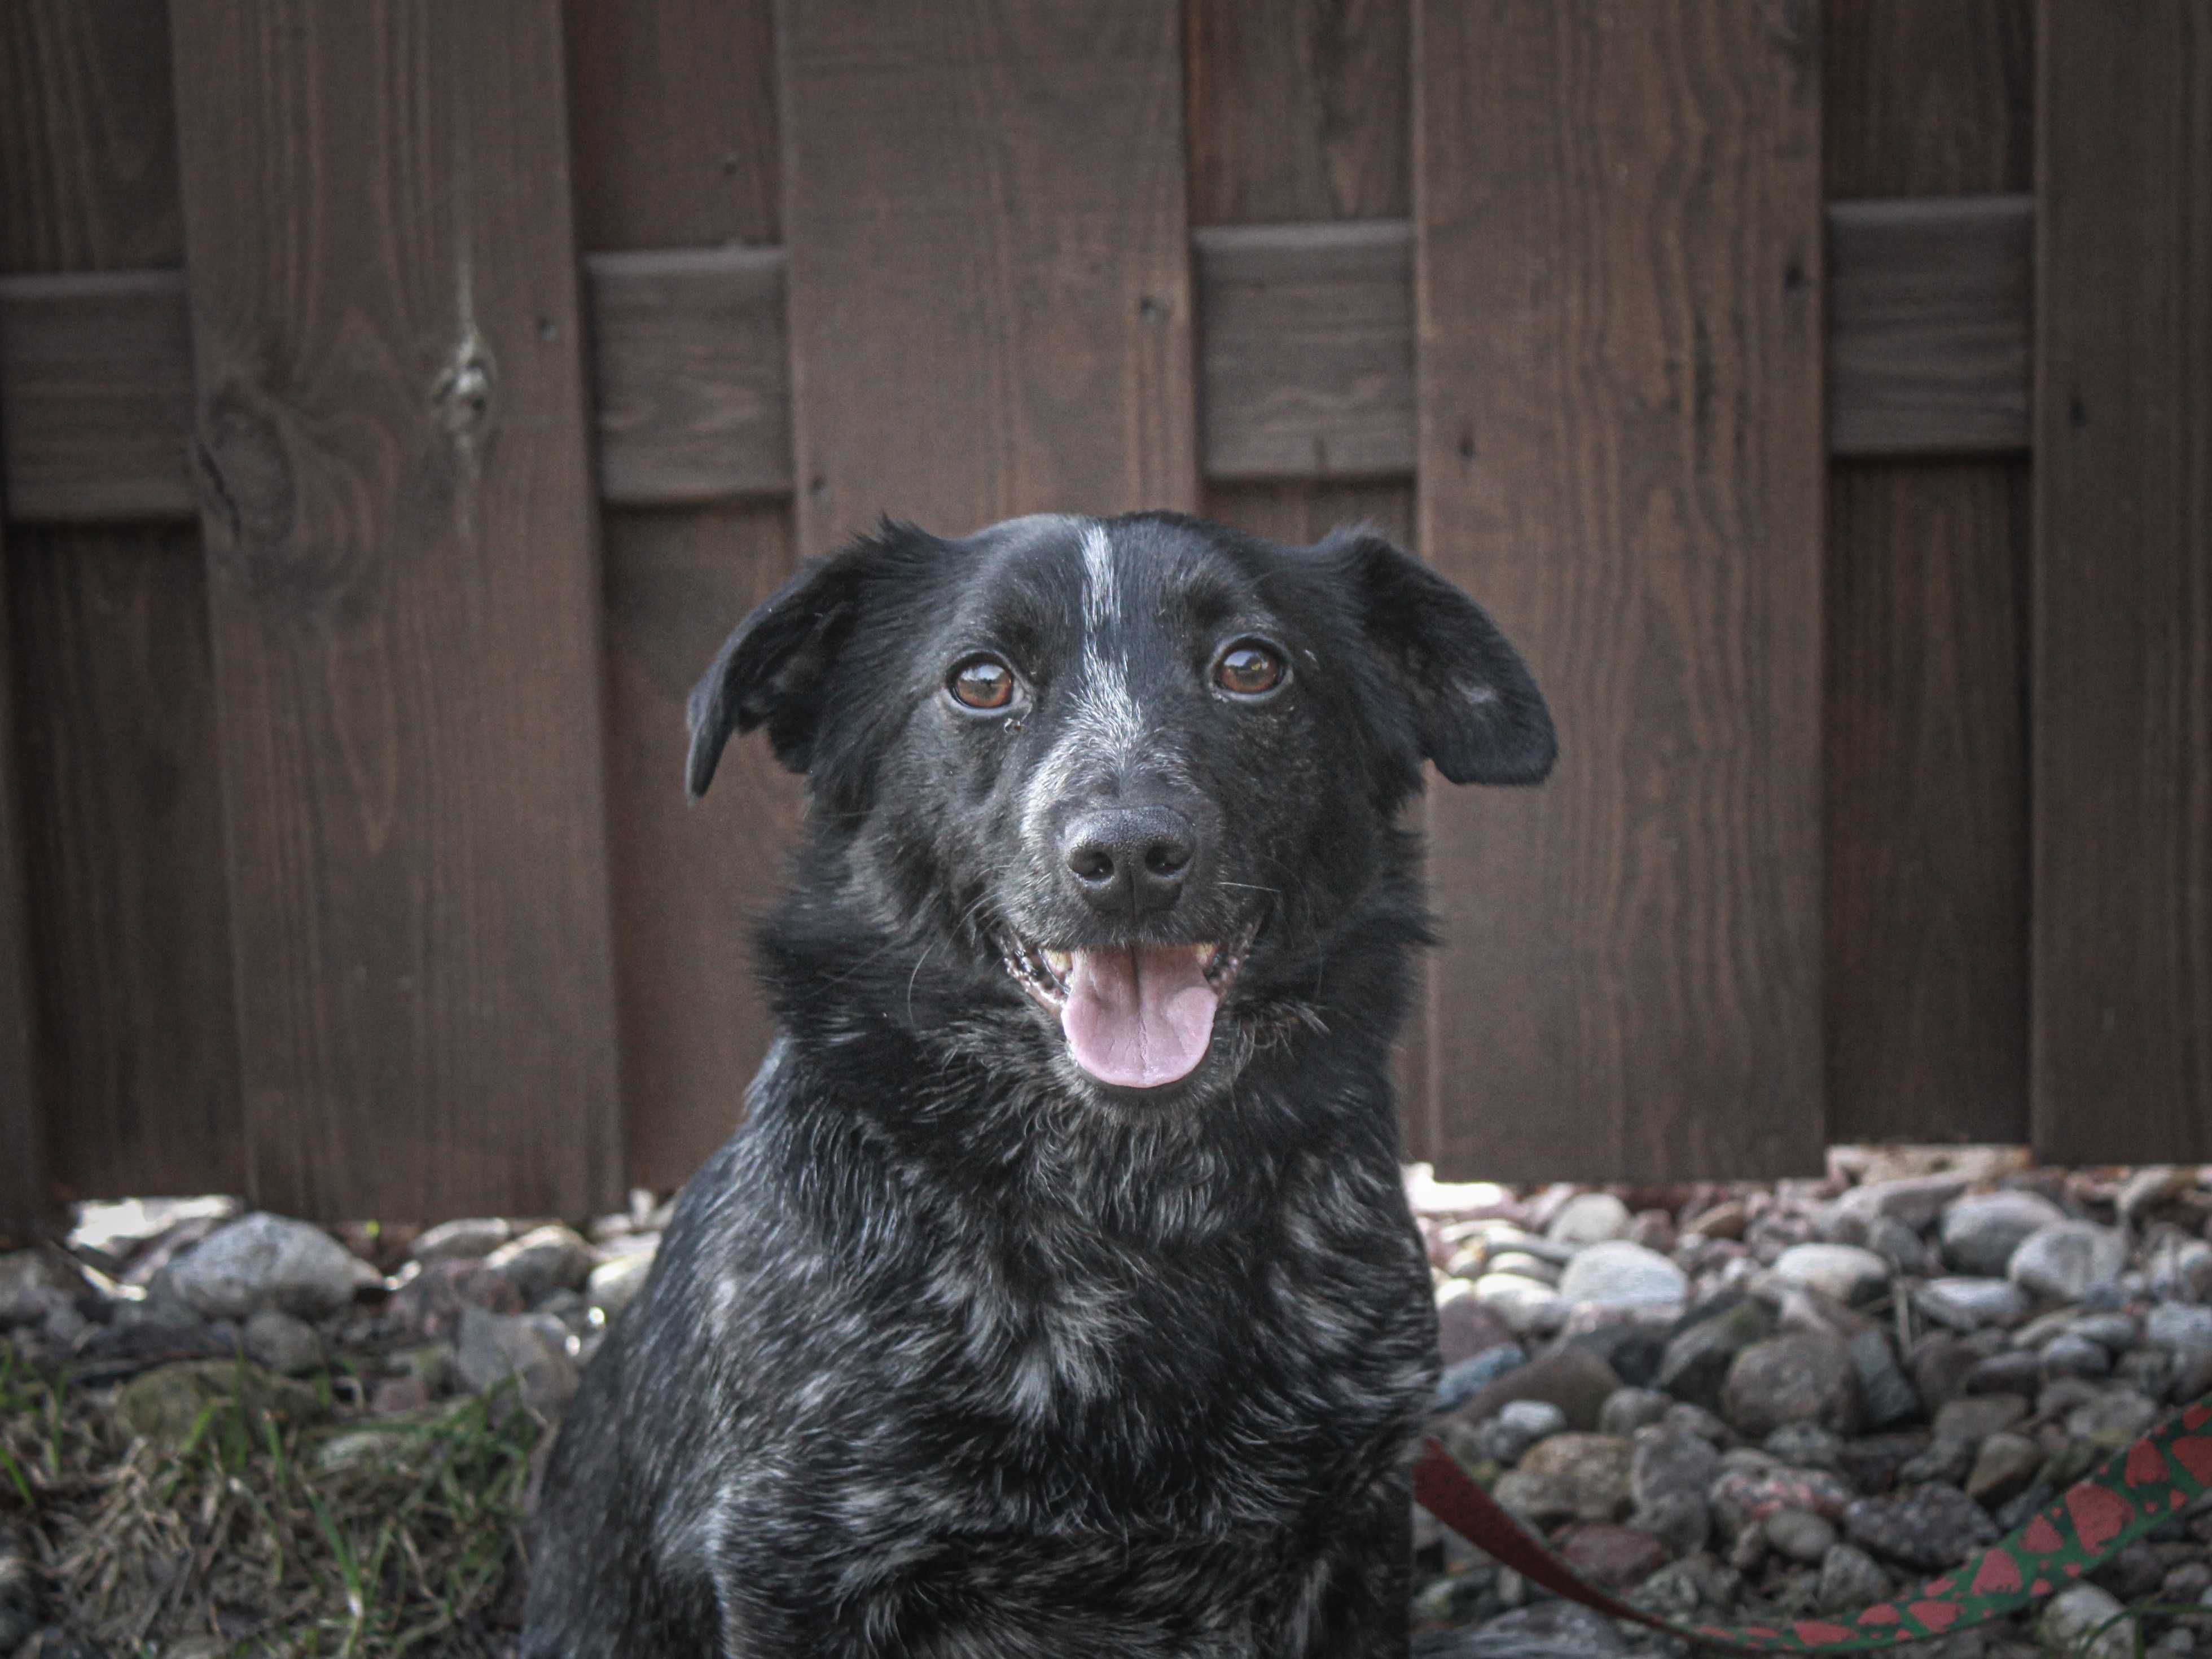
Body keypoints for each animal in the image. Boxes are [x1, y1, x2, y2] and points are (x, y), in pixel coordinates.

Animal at [524, 513, 1548, 1654]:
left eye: (1251, 666)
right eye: (980, 681)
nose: (1132, 853)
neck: (1133, 1202)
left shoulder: (1355, 1523)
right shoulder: (796, 1562)